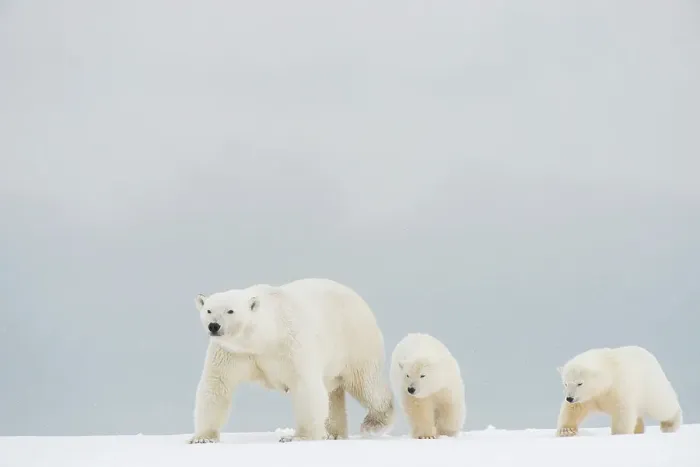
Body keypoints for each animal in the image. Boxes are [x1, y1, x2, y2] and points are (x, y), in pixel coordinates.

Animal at [188, 278, 395, 444]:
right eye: (208, 310)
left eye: (230, 311)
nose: (214, 326)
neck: (265, 337)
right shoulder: (231, 353)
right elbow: (216, 385)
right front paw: (202, 438)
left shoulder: (292, 343)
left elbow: (305, 385)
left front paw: (297, 437)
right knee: (333, 393)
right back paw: (333, 433)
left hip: (355, 342)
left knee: (366, 383)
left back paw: (373, 424)